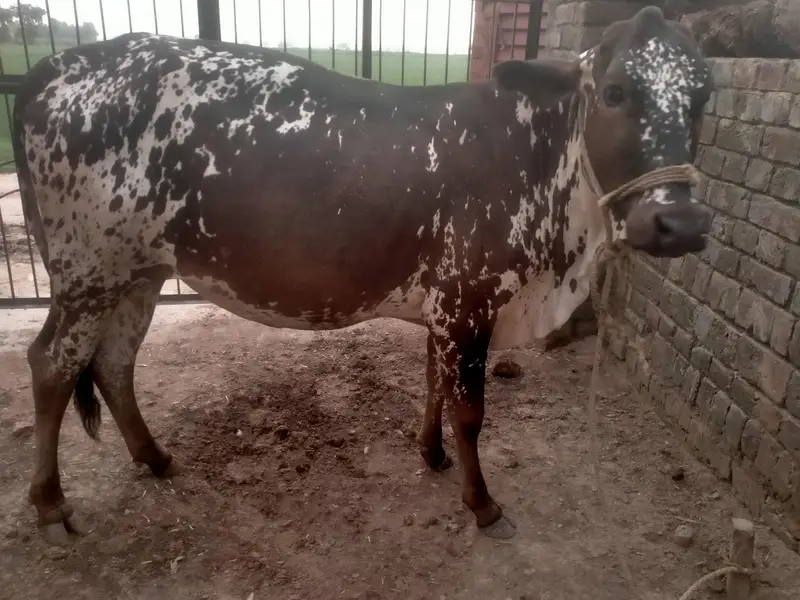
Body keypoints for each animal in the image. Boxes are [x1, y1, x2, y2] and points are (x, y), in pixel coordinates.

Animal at [15, 5, 712, 546]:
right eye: (615, 91)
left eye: (703, 98)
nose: (680, 223)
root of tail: (57, 67)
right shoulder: (469, 301)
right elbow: (470, 409)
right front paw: (483, 504)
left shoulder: (446, 305)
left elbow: (433, 383)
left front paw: (432, 454)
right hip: (87, 270)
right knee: (52, 364)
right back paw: (50, 504)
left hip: (139, 272)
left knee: (113, 362)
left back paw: (155, 457)